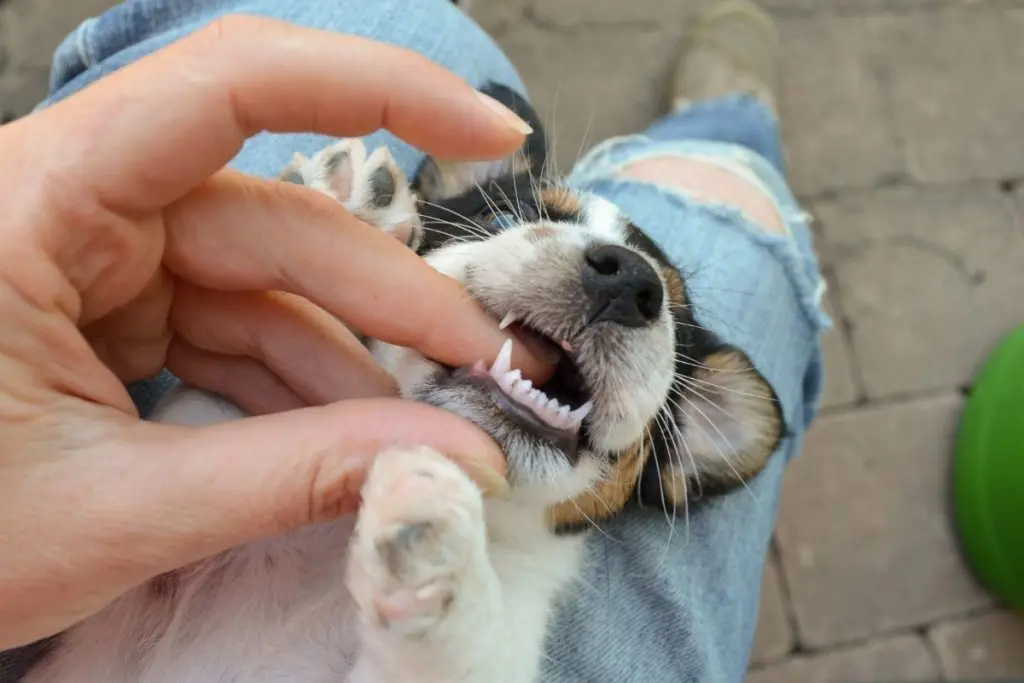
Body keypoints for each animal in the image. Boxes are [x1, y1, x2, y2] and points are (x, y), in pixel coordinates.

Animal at [19, 82, 778, 679]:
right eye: (507, 217)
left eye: (671, 318)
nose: (628, 281)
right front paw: (339, 210)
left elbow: (463, 647)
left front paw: (439, 530)